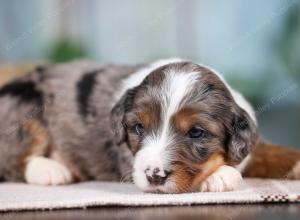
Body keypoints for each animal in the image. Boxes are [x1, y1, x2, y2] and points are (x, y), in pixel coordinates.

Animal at [0, 58, 298, 192]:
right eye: (139, 128)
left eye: (196, 132)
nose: (155, 175)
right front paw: (221, 175)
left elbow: (274, 152)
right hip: (24, 106)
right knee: (14, 157)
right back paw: (51, 170)